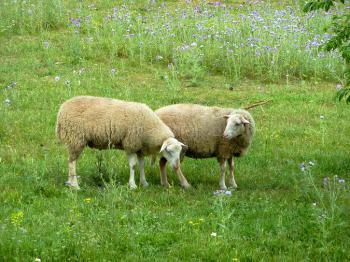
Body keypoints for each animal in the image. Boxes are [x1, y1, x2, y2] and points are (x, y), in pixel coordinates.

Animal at [56, 95, 190, 189]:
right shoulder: (131, 144)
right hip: (76, 138)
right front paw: (132, 185)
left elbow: (141, 165)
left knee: (70, 161)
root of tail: (62, 109)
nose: (177, 166)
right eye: (169, 151)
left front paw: (144, 183)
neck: (150, 129)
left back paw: (70, 183)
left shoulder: (140, 148)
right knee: (72, 162)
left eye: (179, 152)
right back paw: (75, 185)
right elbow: (133, 165)